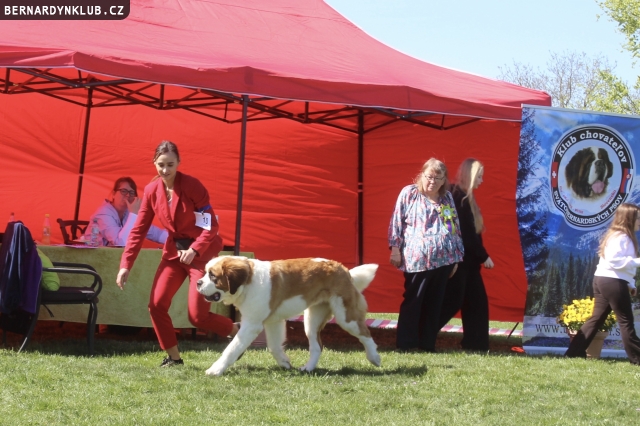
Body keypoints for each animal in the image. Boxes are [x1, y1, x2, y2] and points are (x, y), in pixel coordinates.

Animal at [196, 256, 381, 376]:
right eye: (205, 273)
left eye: (213, 276)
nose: (198, 282)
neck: (248, 281)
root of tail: (342, 268)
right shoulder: (273, 322)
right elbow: (273, 346)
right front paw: (284, 362)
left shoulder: (251, 325)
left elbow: (231, 349)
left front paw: (215, 370)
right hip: (311, 319)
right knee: (316, 346)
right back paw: (308, 368)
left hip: (345, 317)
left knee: (365, 334)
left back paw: (374, 358)